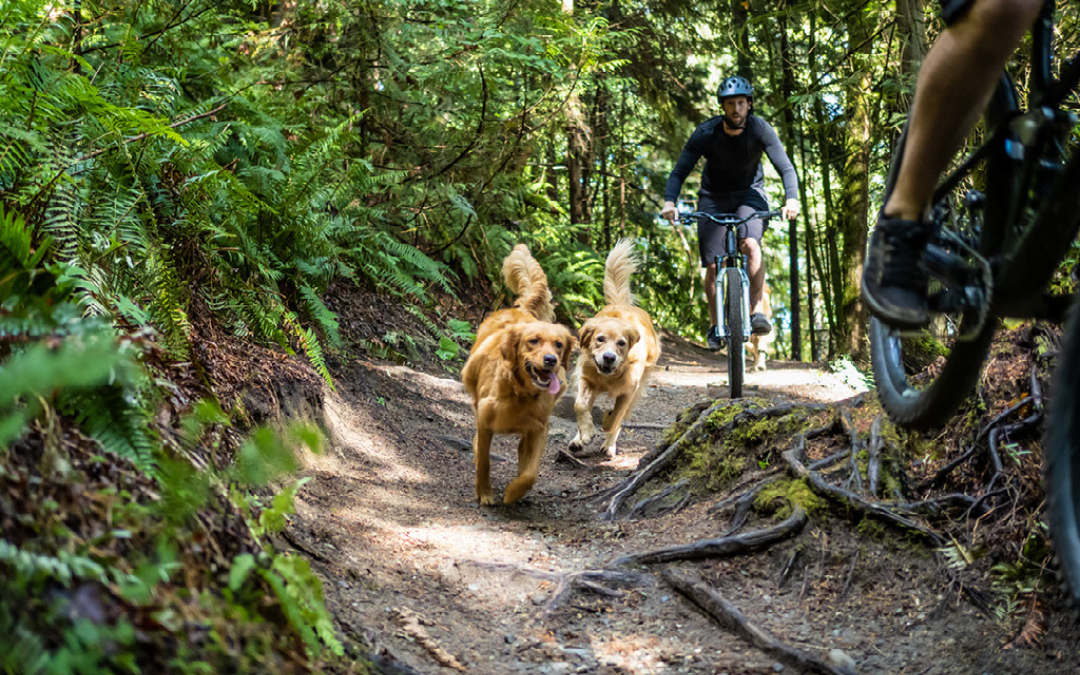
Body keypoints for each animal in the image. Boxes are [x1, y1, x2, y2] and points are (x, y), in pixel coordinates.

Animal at [462, 245, 574, 503]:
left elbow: (530, 474)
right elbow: (484, 461)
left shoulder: (539, 428)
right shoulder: (485, 421)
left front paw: (513, 493)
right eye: (533, 341)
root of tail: (522, 310)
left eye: (559, 345)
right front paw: (485, 493)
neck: (520, 393)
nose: (551, 360)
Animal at [570, 239, 660, 455]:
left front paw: (607, 420)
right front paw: (586, 433)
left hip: (638, 388)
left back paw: (609, 446)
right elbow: (579, 405)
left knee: (621, 418)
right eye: (600, 339)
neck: (608, 377)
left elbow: (615, 419)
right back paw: (578, 439)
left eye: (622, 343)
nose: (609, 358)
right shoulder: (585, 378)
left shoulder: (629, 391)